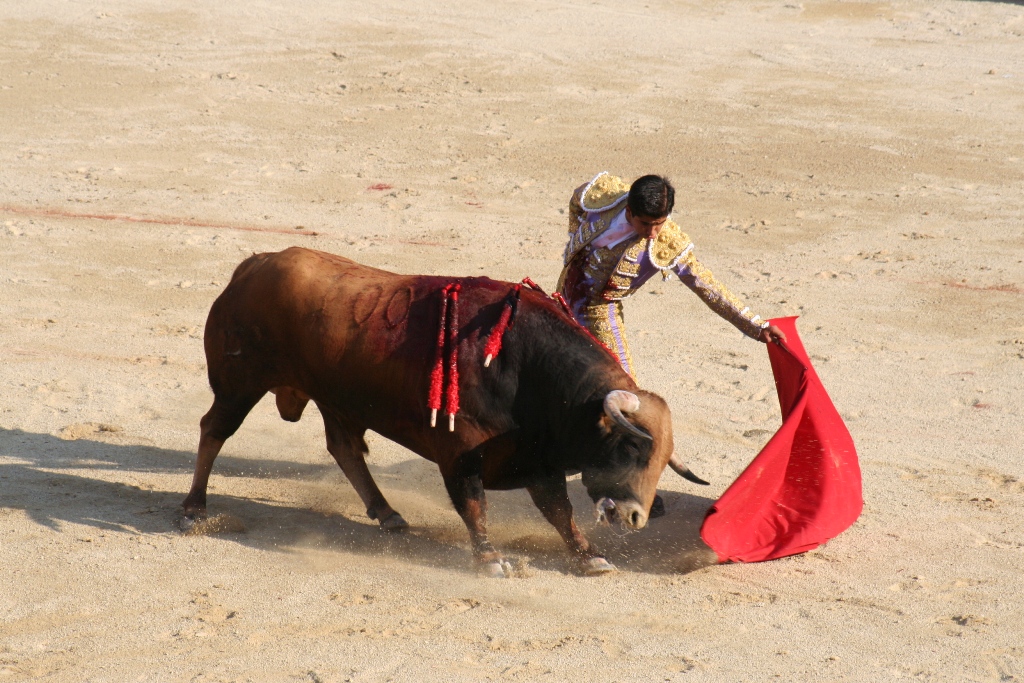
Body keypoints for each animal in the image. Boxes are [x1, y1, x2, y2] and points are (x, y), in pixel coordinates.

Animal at [182, 246, 704, 577]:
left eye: (663, 460)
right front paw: (491, 560)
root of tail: (252, 267)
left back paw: (387, 513)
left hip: (336, 398)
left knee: (344, 448)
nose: (636, 518)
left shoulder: (538, 460)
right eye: (631, 446)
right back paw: (193, 509)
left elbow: (559, 512)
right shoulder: (460, 454)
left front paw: (589, 556)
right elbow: (474, 505)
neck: (525, 369)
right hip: (238, 385)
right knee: (214, 430)